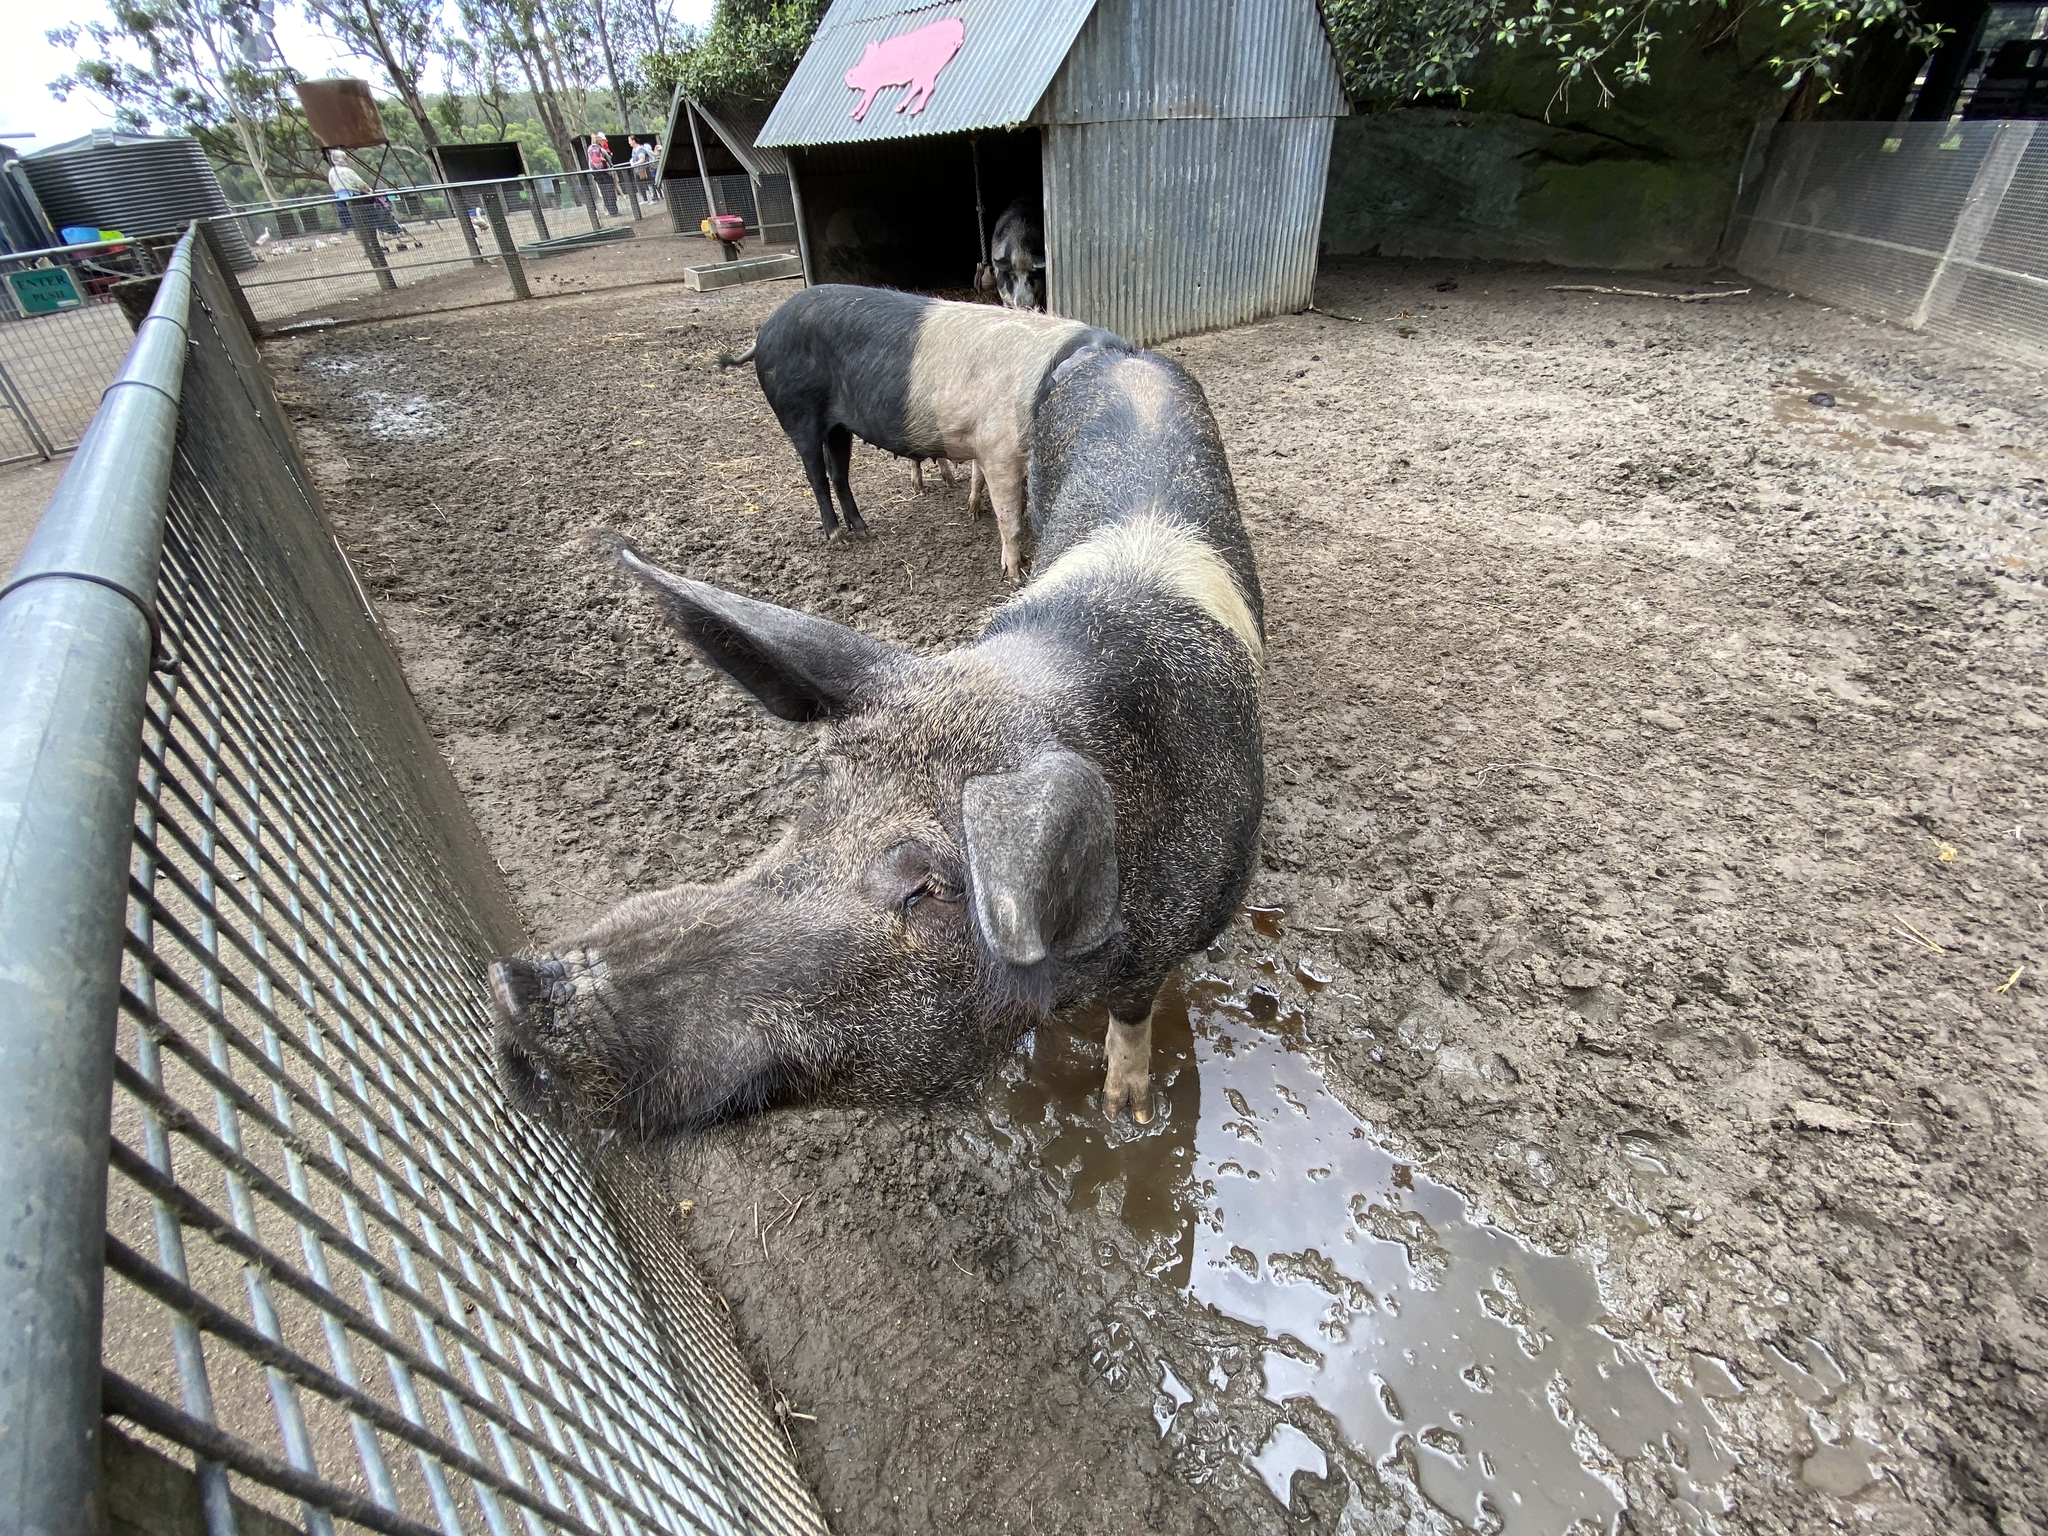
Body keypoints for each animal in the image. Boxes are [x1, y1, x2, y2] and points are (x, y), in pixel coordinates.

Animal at [495, 346, 1261, 1146]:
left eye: (934, 888)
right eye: (819, 789)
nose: (521, 989)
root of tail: (1119, 351)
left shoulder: (1173, 933)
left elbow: (1134, 1018)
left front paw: (1127, 1116)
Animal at [720, 282, 1105, 581]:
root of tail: (764, 331)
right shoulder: (1000, 450)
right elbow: (1009, 517)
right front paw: (1013, 574)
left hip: (839, 426)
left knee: (839, 474)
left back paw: (863, 531)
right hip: (798, 413)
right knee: (816, 475)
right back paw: (837, 537)